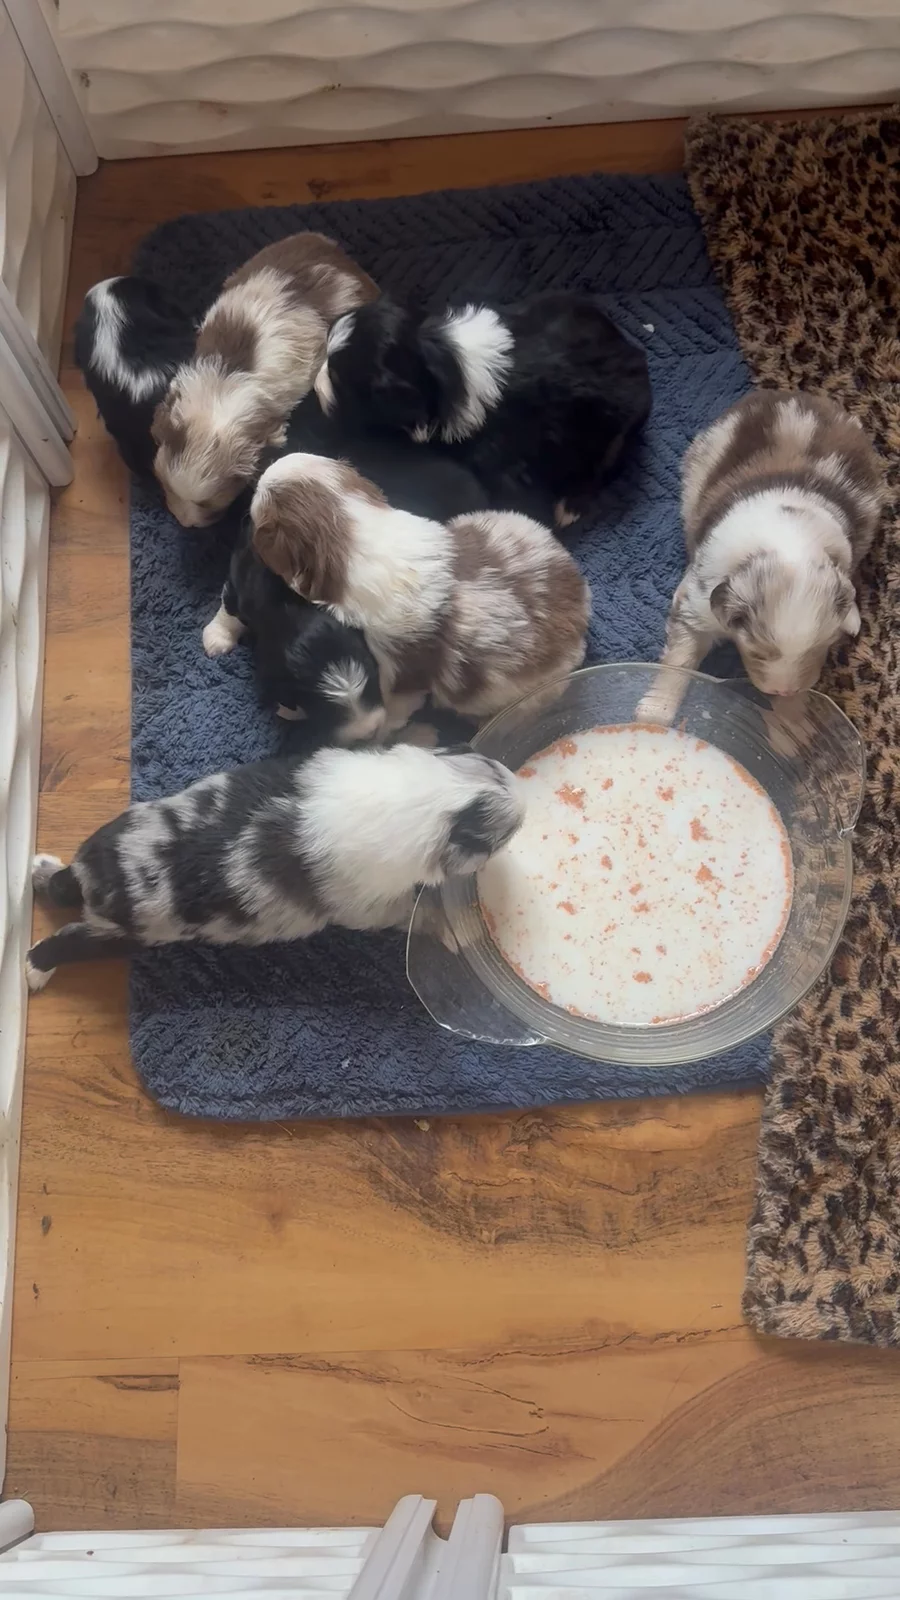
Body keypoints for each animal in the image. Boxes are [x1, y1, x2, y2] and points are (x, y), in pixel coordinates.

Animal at [25, 744, 525, 986]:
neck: (429, 796)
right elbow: (412, 914)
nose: (523, 809)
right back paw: (33, 971)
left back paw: (40, 868)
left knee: (61, 886)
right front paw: (455, 931)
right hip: (127, 936)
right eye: (505, 835)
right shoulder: (371, 907)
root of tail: (100, 882)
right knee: (63, 943)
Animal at [250, 452, 590, 732]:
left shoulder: (398, 673)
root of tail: (584, 601)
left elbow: (392, 710)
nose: (260, 475)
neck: (353, 530)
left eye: (259, 499)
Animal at [313, 291, 652, 525]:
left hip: (614, 431)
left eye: (339, 380)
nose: (316, 387)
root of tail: (639, 358)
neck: (440, 358)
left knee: (603, 468)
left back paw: (569, 507)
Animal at [638, 391, 883, 722]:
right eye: (758, 652)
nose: (784, 690)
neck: (784, 543)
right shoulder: (697, 605)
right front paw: (654, 713)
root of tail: (791, 396)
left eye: (820, 649)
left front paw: (791, 719)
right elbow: (680, 658)